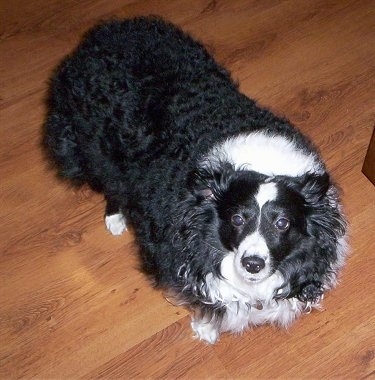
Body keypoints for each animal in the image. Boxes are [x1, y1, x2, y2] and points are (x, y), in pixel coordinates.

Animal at [44, 15, 350, 344]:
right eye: (237, 219)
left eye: (282, 223)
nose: (252, 264)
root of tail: (106, 29)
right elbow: (210, 300)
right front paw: (206, 329)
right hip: (94, 149)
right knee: (111, 184)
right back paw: (115, 218)